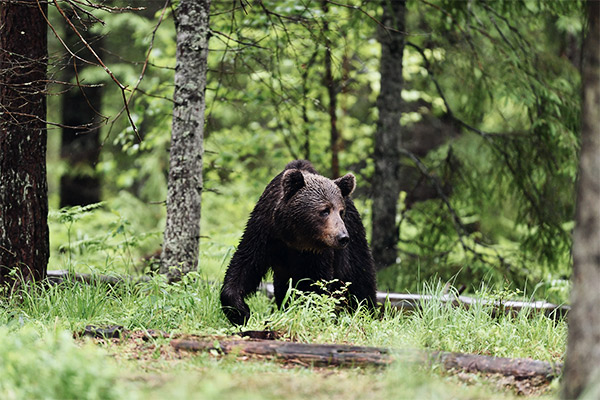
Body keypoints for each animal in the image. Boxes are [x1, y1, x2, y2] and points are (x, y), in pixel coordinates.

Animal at [220, 159, 378, 324]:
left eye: (341, 212)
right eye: (325, 210)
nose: (342, 237)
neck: (294, 237)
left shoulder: (318, 254)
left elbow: (317, 285)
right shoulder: (263, 232)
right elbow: (245, 264)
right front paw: (241, 311)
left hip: (354, 243)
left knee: (361, 281)